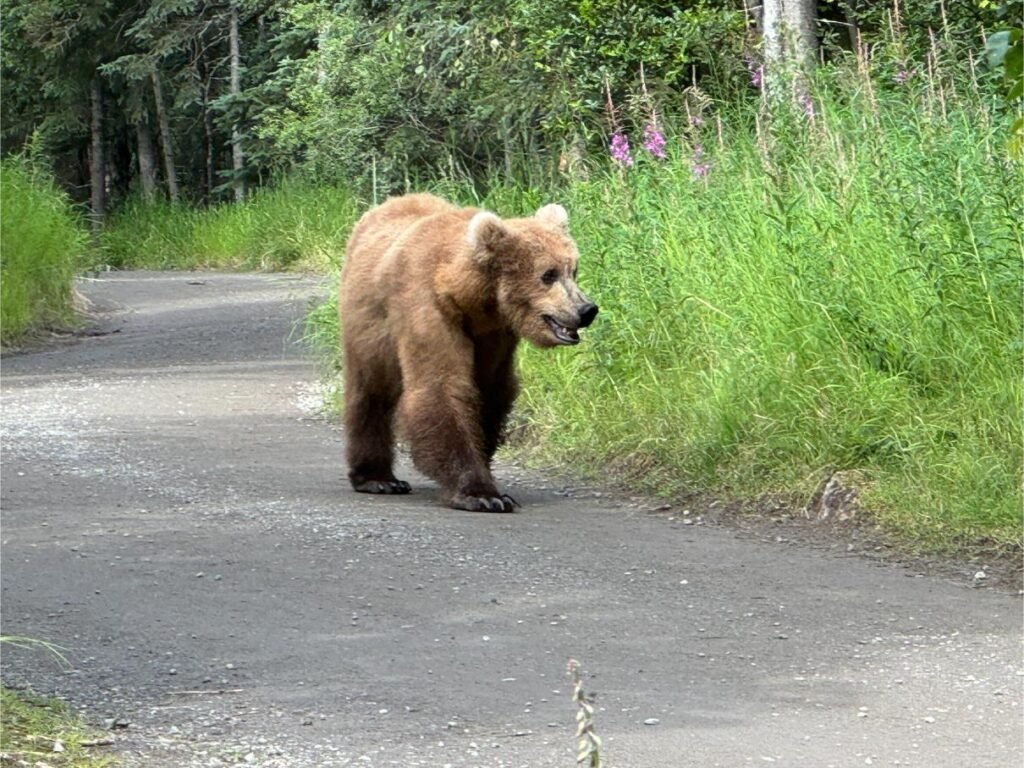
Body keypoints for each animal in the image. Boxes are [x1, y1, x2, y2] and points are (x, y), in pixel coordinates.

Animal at [342, 195, 598, 514]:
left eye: (573, 270)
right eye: (548, 274)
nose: (586, 309)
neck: (470, 299)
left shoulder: (495, 335)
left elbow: (489, 392)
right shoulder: (428, 309)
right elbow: (441, 387)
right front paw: (482, 495)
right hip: (368, 331)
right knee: (370, 391)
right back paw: (377, 478)